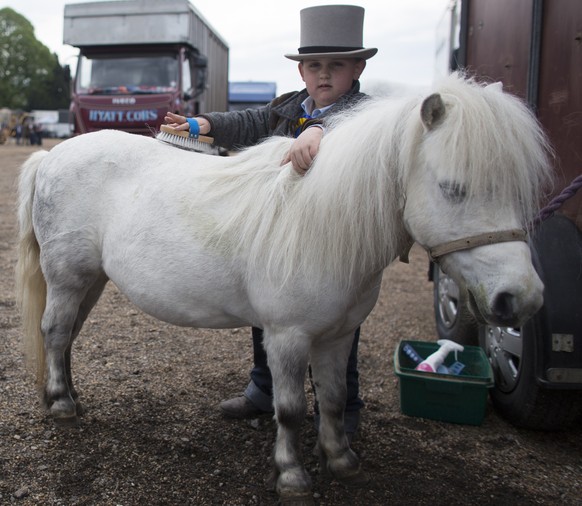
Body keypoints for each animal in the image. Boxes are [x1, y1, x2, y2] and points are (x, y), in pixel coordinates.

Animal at [17, 73, 552, 504]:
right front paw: (292, 476)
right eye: (452, 188)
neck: (326, 221)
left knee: (66, 336)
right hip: (67, 278)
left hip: (91, 281)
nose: (521, 298)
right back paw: (61, 404)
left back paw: (68, 395)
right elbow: (292, 409)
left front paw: (341, 460)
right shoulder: (288, 337)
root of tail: (51, 154)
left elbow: (333, 399)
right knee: (56, 332)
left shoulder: (338, 337)